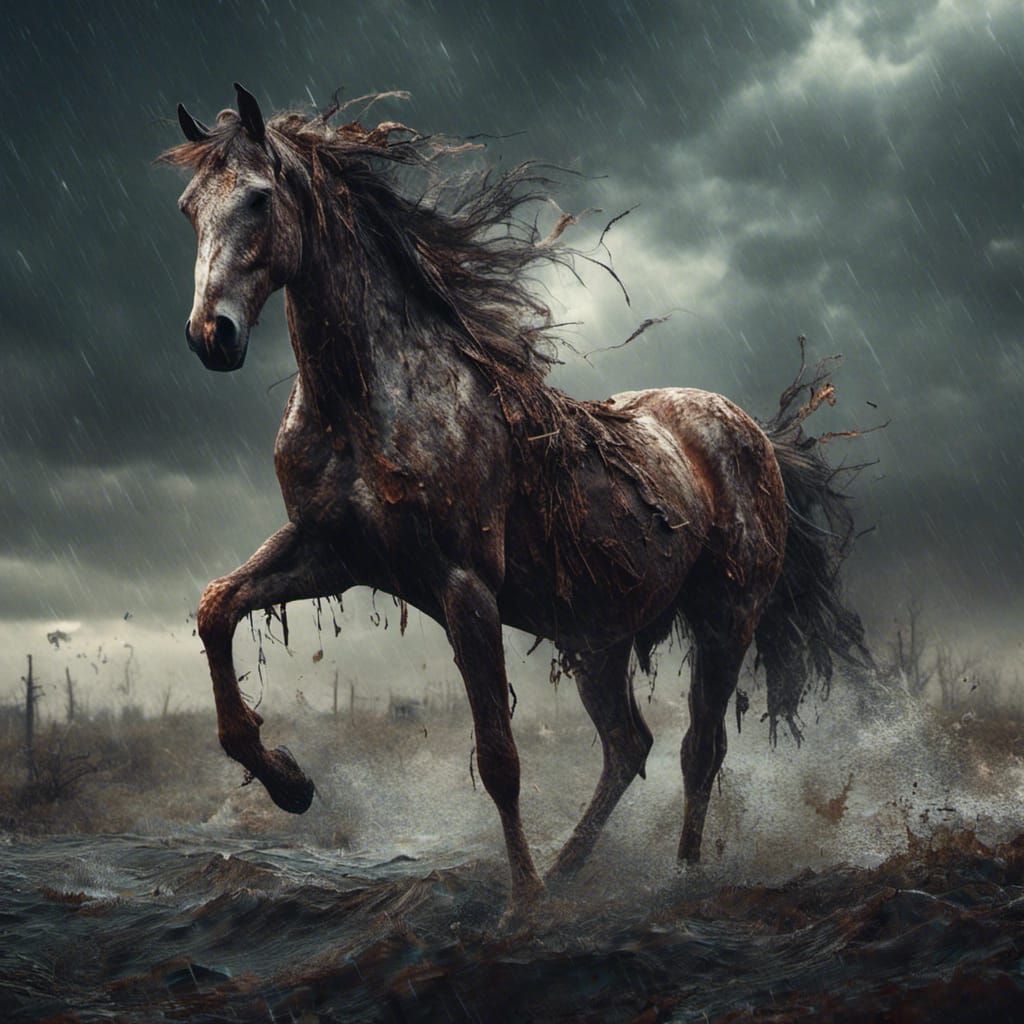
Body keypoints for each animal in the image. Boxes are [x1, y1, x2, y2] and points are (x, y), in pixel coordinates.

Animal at [161, 84, 868, 911]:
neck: (367, 400)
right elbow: (216, 607)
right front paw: (290, 784)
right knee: (628, 746)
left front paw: (522, 905)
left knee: (700, 749)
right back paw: (570, 875)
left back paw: (678, 878)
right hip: (598, 637)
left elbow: (499, 757)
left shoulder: (464, 585)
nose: (211, 335)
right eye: (189, 208)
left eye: (259, 198)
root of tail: (754, 434)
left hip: (726, 617)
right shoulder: (330, 552)